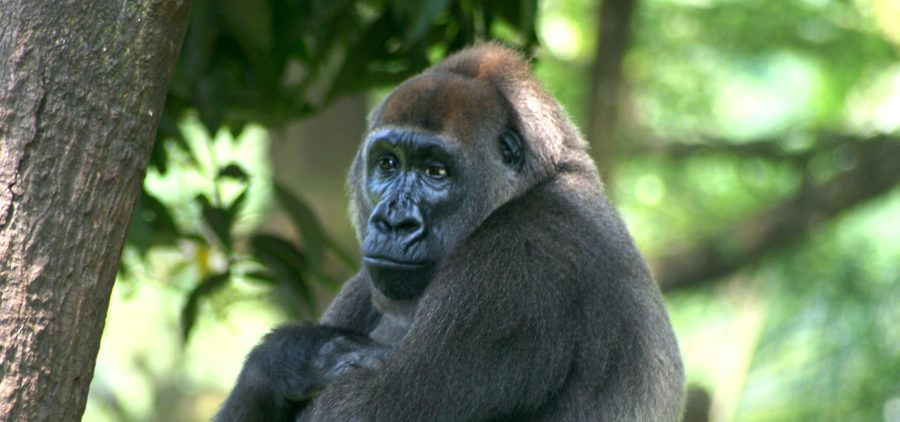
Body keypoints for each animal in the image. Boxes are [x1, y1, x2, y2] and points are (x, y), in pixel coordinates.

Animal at [215, 43, 685, 421]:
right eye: (388, 164)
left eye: (435, 172)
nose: (393, 222)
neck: (530, 185)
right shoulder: (365, 282)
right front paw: (292, 358)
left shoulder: (515, 268)